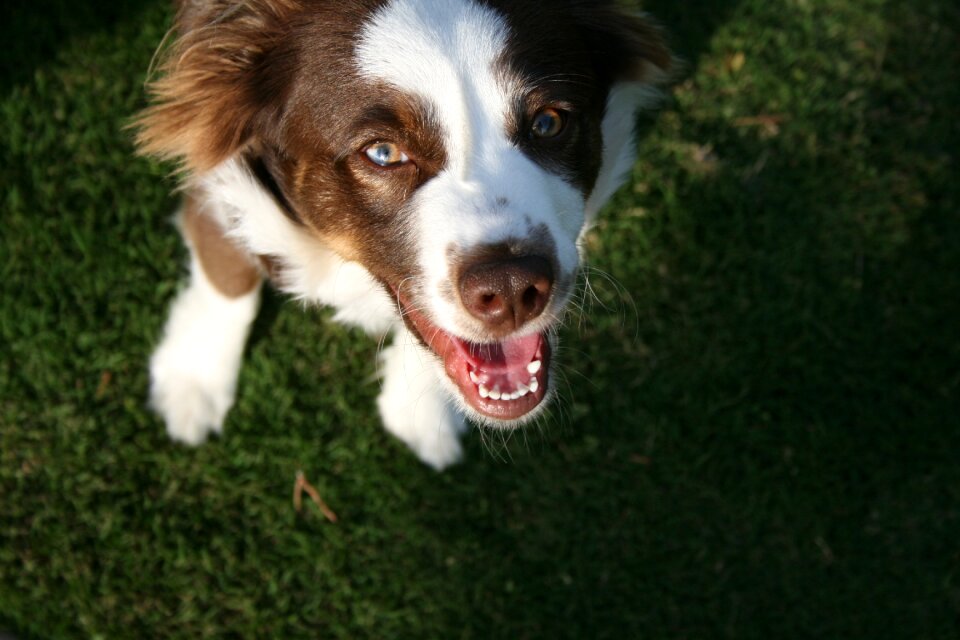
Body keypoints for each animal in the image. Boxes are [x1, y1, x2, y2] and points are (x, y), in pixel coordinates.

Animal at [139, 0, 672, 470]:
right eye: (382, 153)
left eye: (548, 122)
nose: (512, 290)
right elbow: (228, 277)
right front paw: (192, 379)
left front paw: (420, 415)